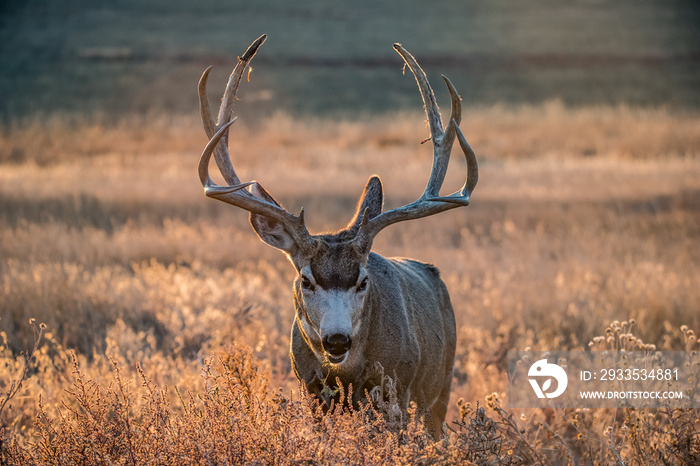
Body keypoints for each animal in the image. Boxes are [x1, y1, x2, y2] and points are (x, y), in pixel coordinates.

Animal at [197, 34, 476, 438]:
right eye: (306, 280)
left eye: (363, 281)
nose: (337, 339)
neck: (346, 376)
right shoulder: (309, 391)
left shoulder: (398, 392)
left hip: (443, 384)